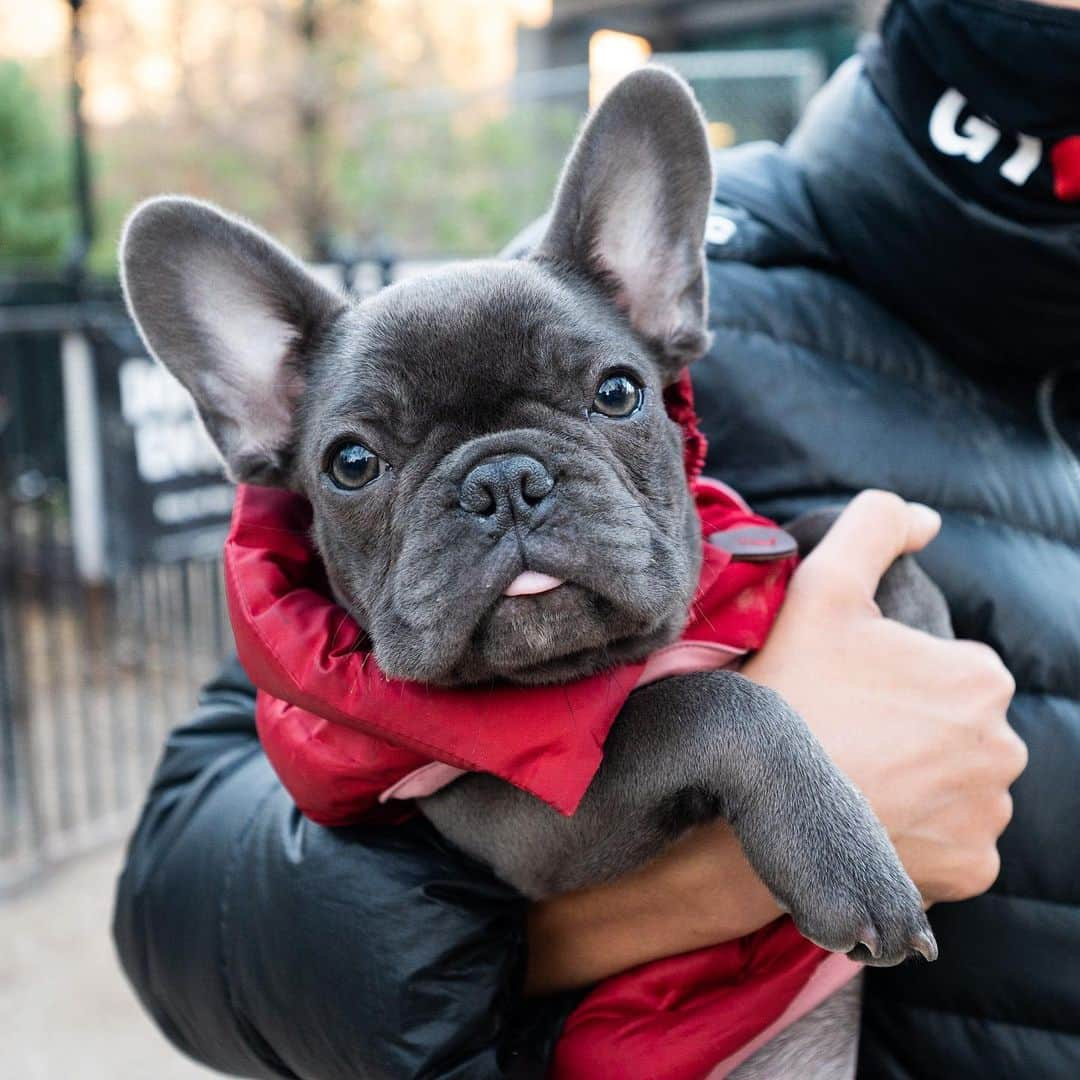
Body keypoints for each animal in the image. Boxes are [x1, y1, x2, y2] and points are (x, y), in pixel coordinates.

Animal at [120, 69, 946, 1080]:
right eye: (351, 463)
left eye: (619, 392)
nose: (502, 480)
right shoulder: (530, 826)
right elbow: (698, 701)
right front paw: (846, 856)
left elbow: (843, 531)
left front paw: (917, 628)